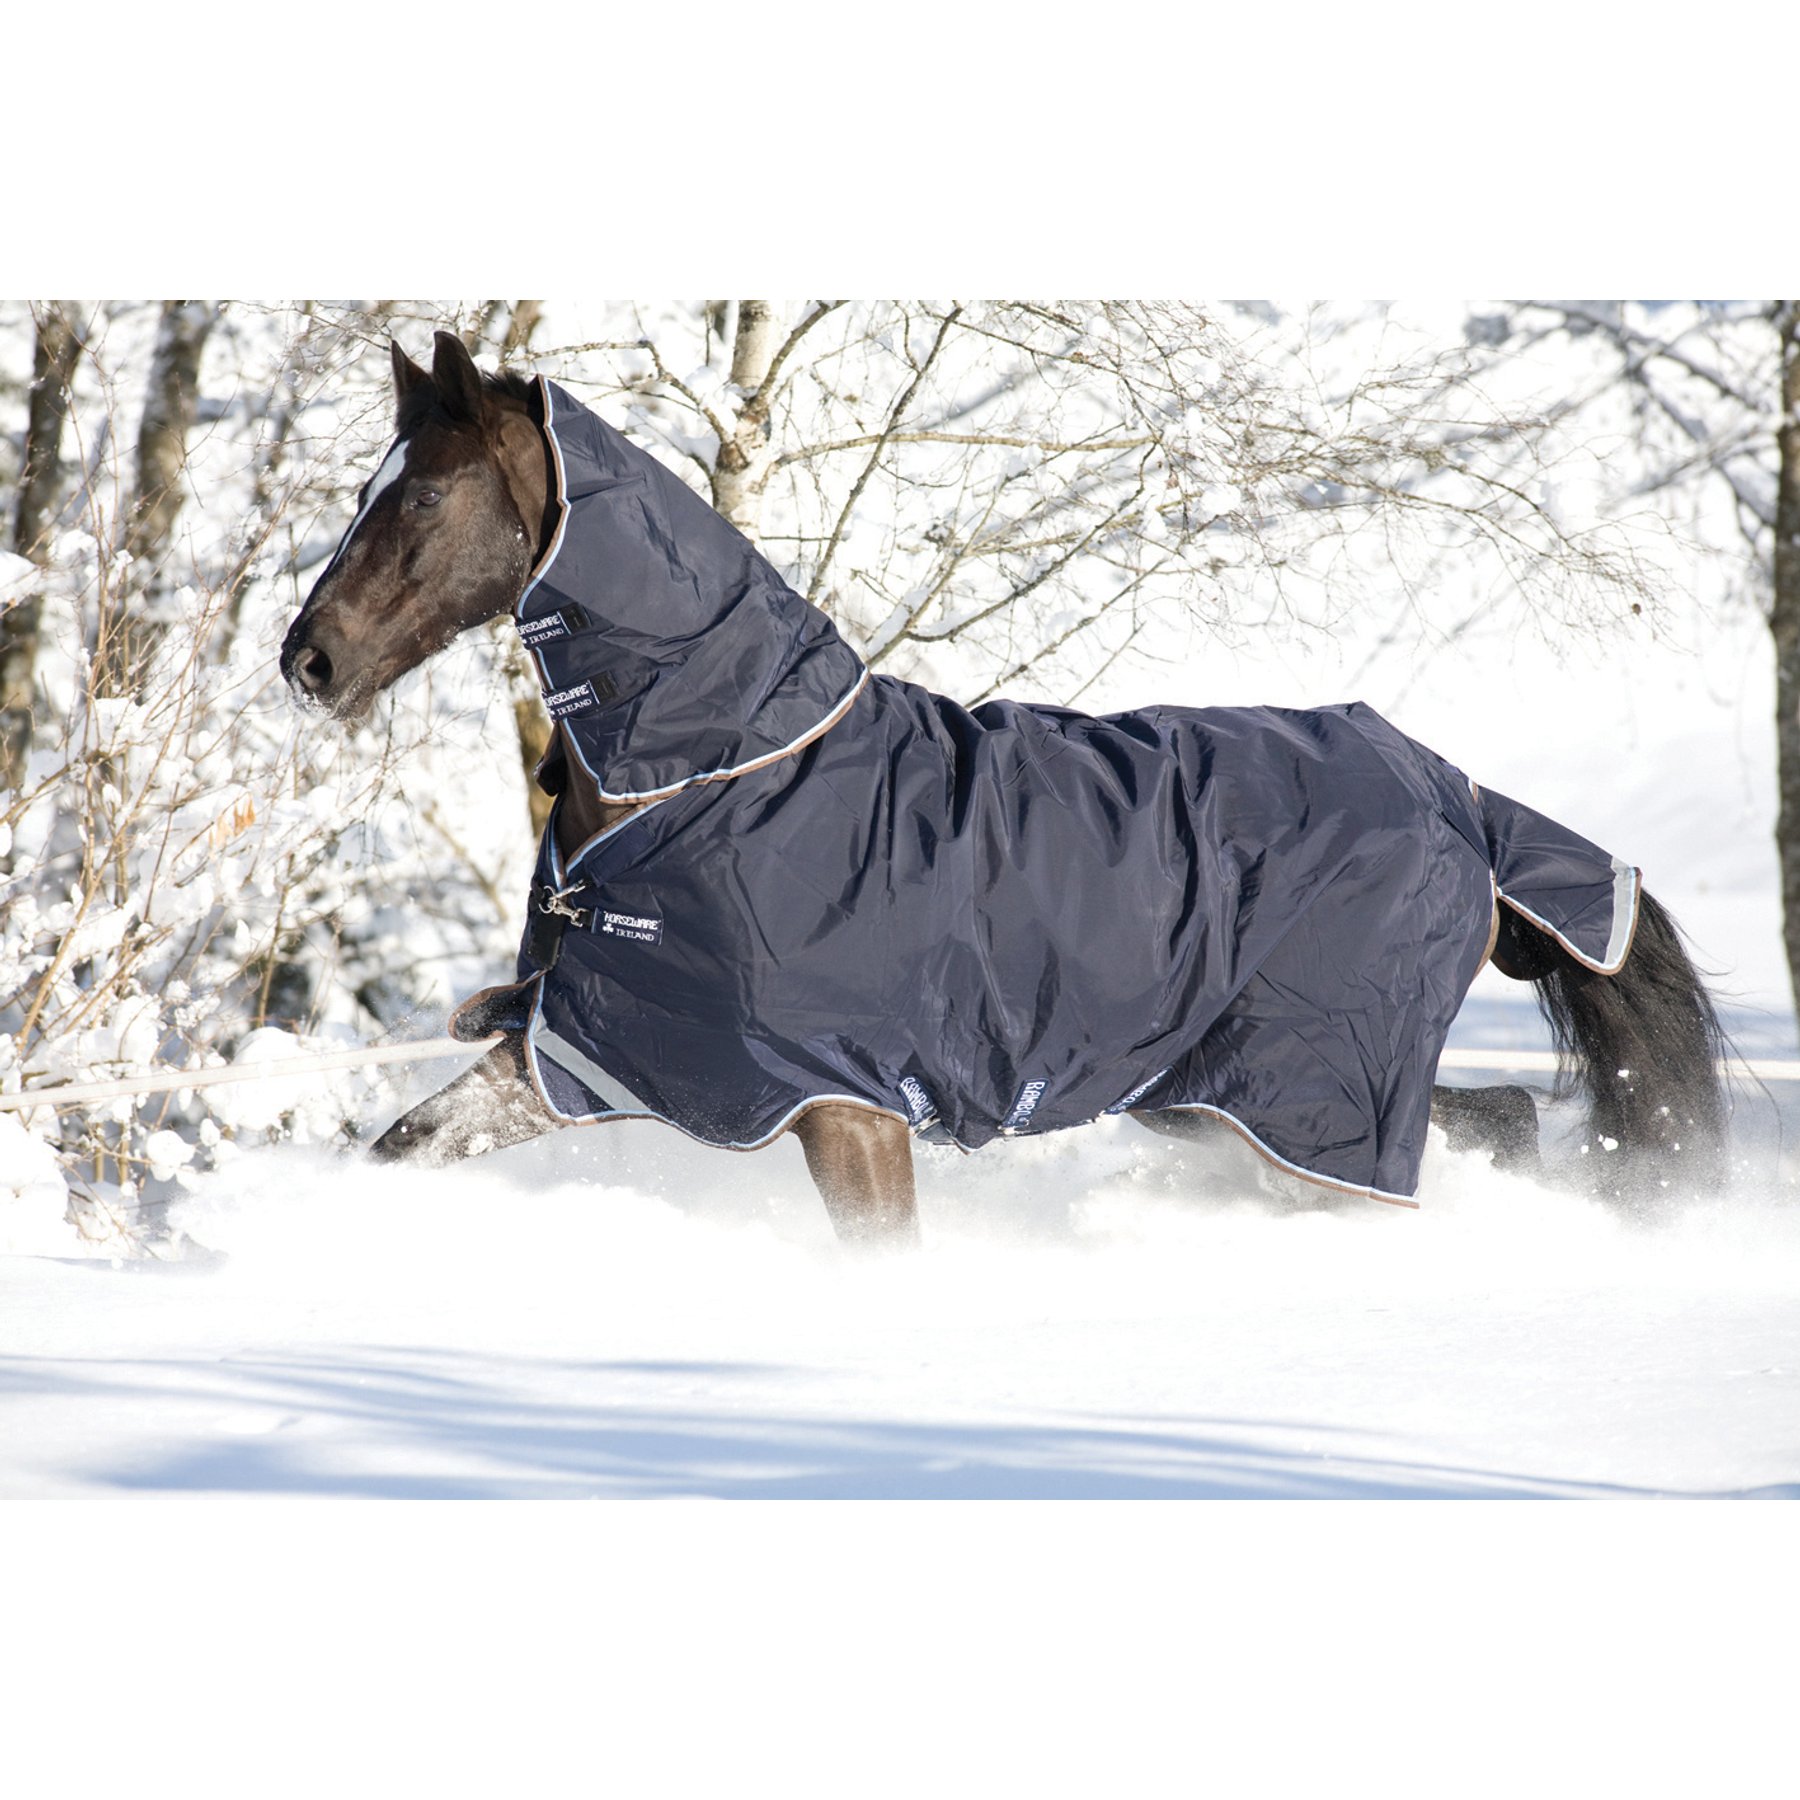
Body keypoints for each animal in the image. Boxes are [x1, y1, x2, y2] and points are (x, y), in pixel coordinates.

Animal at [279, 331, 1728, 1244]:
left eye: (423, 501)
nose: (310, 660)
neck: (714, 781)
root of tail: (1459, 801)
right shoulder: (583, 1054)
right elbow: (407, 1145)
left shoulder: (846, 1110)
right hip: (1226, 1104)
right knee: (1500, 1120)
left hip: (1299, 1099)